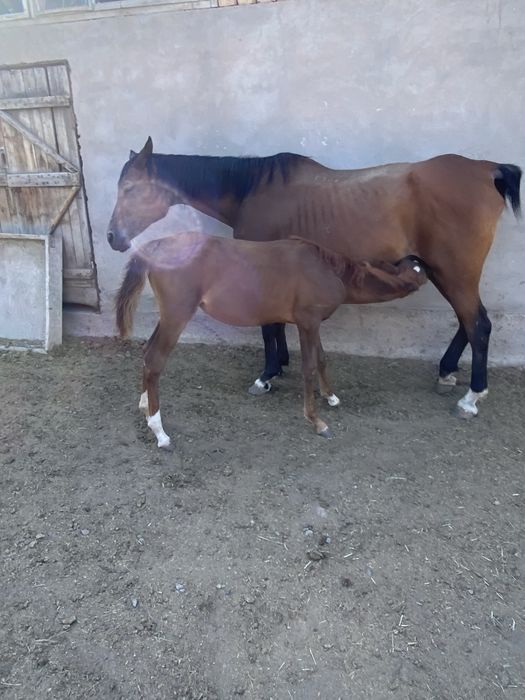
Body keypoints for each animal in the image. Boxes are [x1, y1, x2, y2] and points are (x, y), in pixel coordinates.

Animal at [107, 137, 521, 419]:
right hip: (444, 271)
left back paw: (471, 397)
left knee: (478, 324)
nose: (112, 237)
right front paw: (281, 363)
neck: (252, 190)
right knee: (467, 322)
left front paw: (267, 375)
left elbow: (269, 326)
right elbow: (276, 324)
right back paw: (447, 372)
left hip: (454, 271)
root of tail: (487, 169)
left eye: (130, 189)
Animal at [115, 230, 427, 448]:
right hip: (177, 316)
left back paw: (145, 407)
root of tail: (156, 246)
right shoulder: (307, 322)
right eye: (420, 271)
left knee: (148, 355)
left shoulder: (311, 324)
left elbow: (322, 359)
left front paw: (331, 397)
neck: (326, 269)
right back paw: (160, 432)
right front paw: (317, 421)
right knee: (155, 360)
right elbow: (309, 367)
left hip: (168, 317)